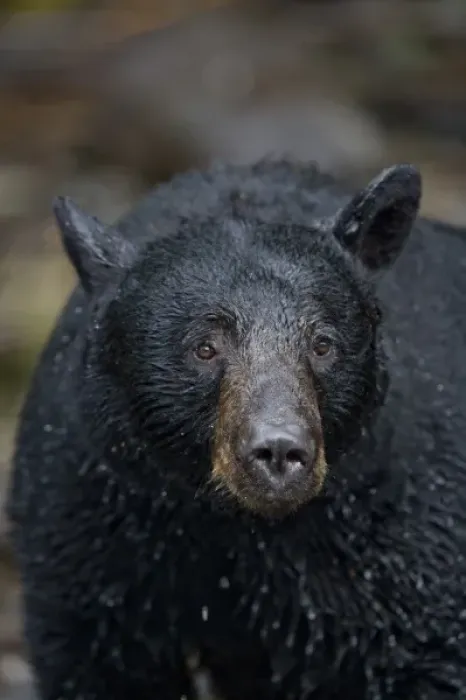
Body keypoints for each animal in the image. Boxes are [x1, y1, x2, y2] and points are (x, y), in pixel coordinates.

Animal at [6, 158, 466, 700]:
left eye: (323, 344)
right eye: (204, 347)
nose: (280, 450)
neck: (237, 530)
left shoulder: (403, 540)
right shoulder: (88, 532)